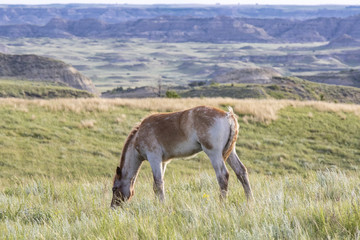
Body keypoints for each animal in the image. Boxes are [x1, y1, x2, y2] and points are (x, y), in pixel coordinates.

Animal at [109, 106, 253, 207]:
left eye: (114, 188)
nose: (113, 207)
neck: (139, 135)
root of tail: (228, 115)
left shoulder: (154, 158)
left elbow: (158, 183)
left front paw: (161, 206)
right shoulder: (162, 162)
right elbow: (157, 185)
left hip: (214, 153)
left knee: (223, 176)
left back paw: (222, 205)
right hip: (230, 153)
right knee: (241, 172)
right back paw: (250, 202)